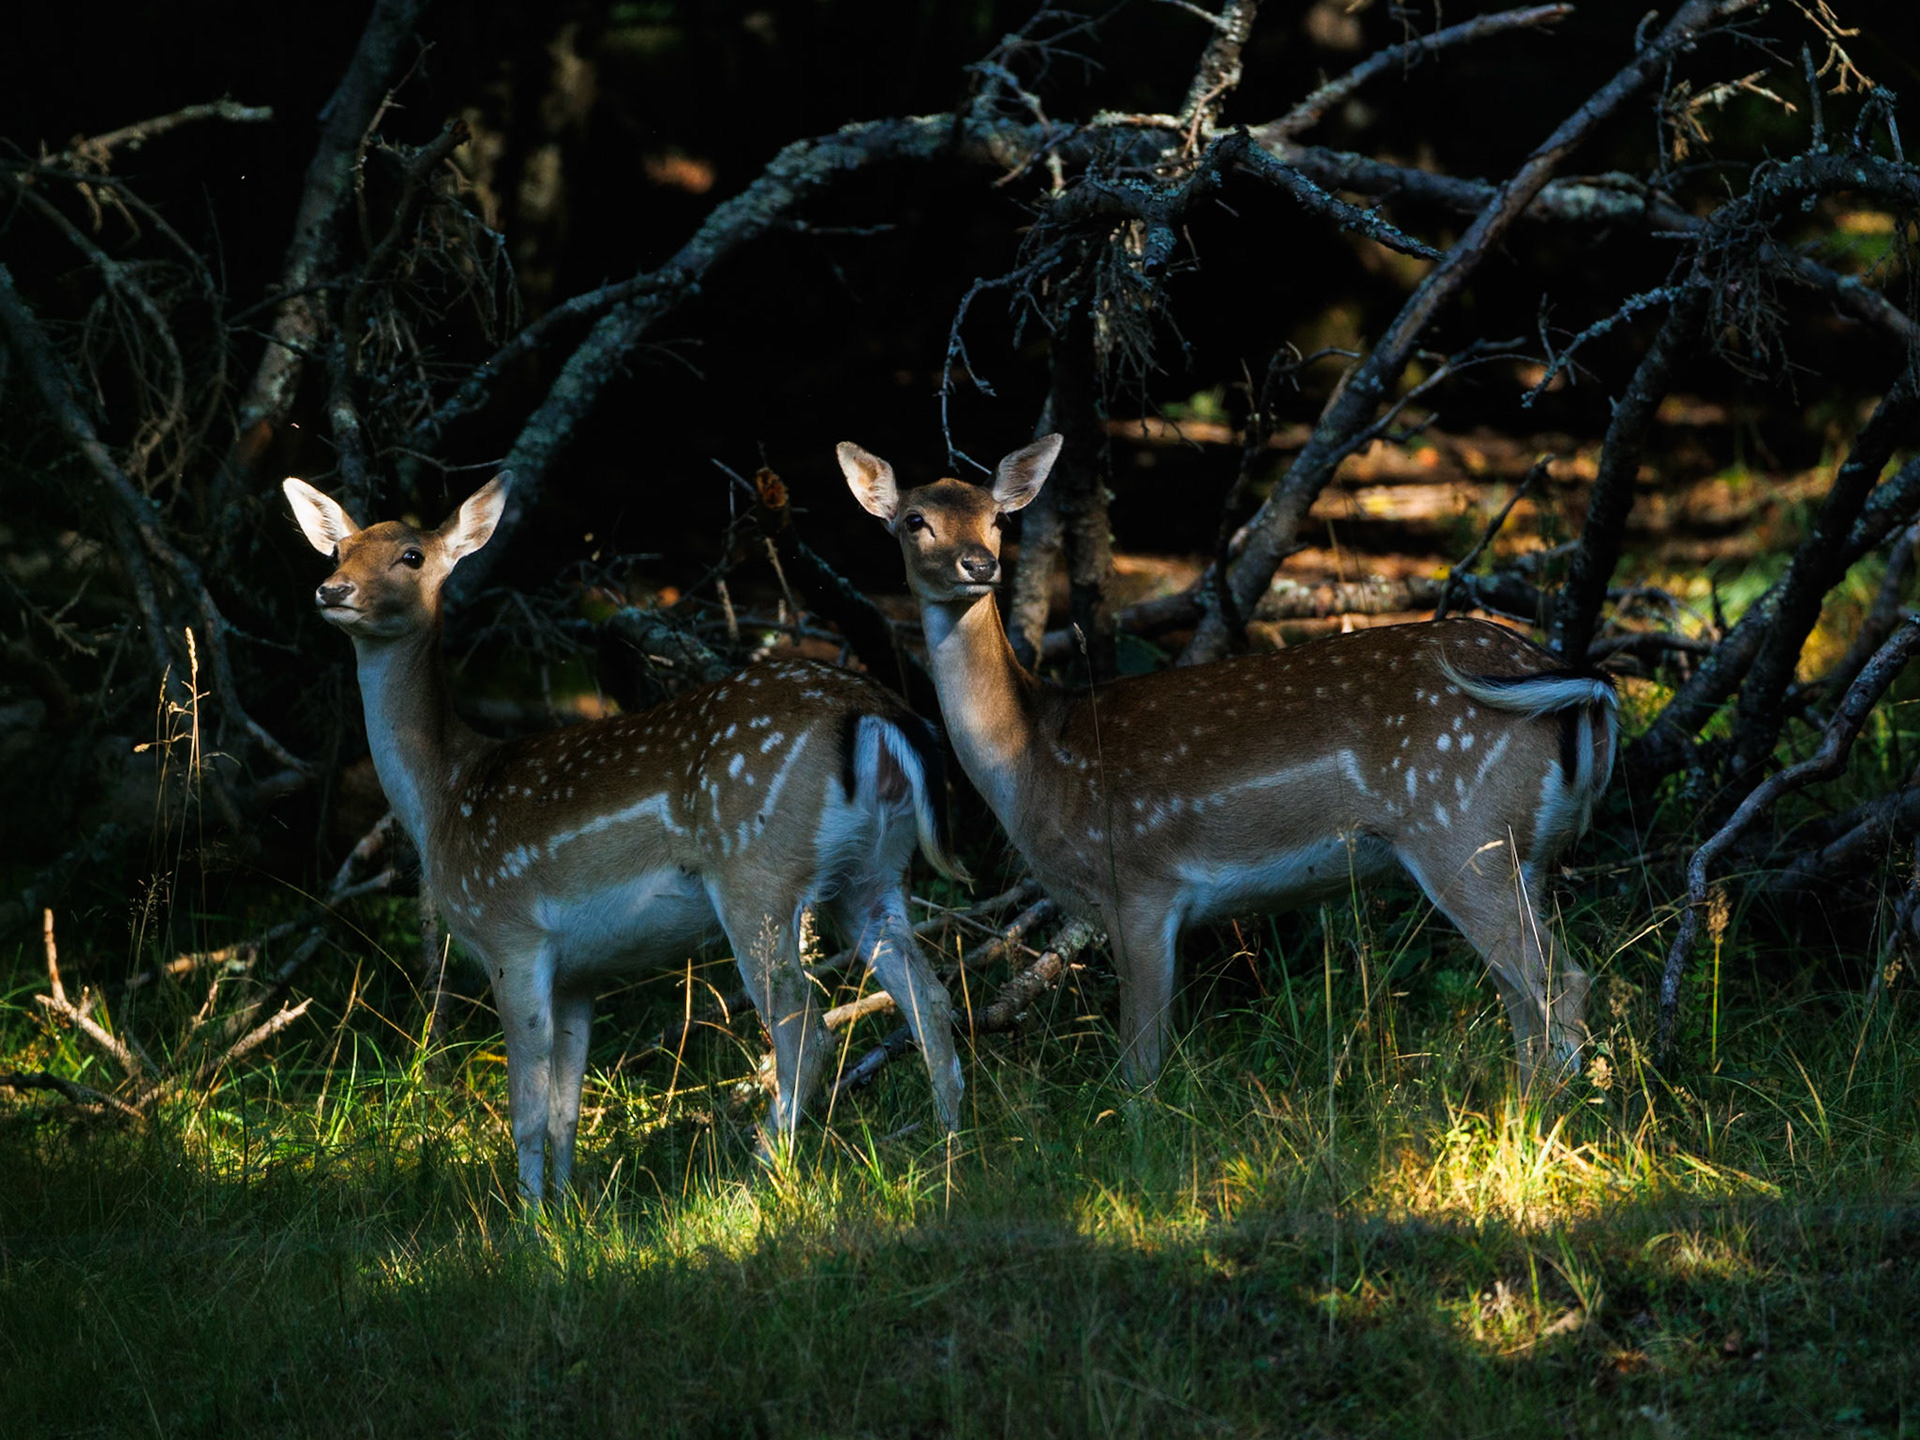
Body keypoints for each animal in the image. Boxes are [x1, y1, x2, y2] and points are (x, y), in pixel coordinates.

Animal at [283, 471, 967, 1208]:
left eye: (411, 555)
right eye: (339, 549)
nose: (332, 590)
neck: (446, 795)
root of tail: (878, 715)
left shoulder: (510, 932)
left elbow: (527, 1110)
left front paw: (527, 1221)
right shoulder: (580, 972)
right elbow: (566, 1110)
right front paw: (564, 1210)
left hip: (758, 872)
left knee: (806, 1030)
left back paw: (756, 1178)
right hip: (871, 875)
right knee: (929, 999)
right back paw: (951, 1148)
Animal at [839, 434, 1618, 1090]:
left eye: (999, 518)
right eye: (914, 520)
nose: (980, 564)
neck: (1033, 756)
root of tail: (1585, 689)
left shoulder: (1141, 886)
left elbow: (1140, 1066)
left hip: (1462, 830)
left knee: (1558, 984)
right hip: (1523, 852)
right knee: (1524, 999)